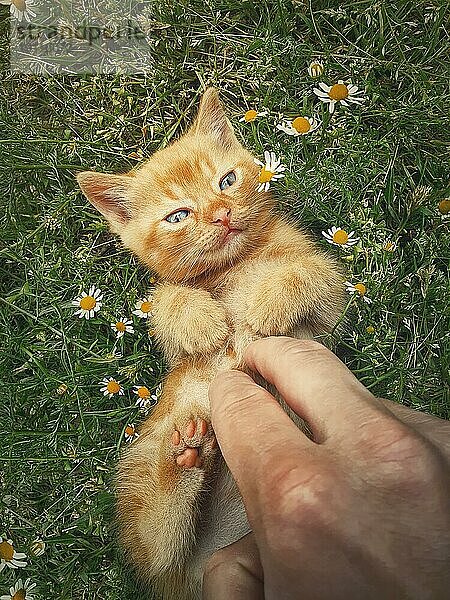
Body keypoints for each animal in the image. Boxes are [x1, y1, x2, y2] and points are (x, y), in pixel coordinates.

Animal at [77, 89, 344, 600]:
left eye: (228, 180)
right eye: (178, 215)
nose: (221, 214)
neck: (233, 266)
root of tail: (194, 578)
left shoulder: (327, 304)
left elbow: (306, 272)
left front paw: (267, 301)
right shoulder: (173, 334)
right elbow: (166, 299)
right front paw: (203, 320)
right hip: (146, 461)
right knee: (157, 545)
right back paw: (185, 460)